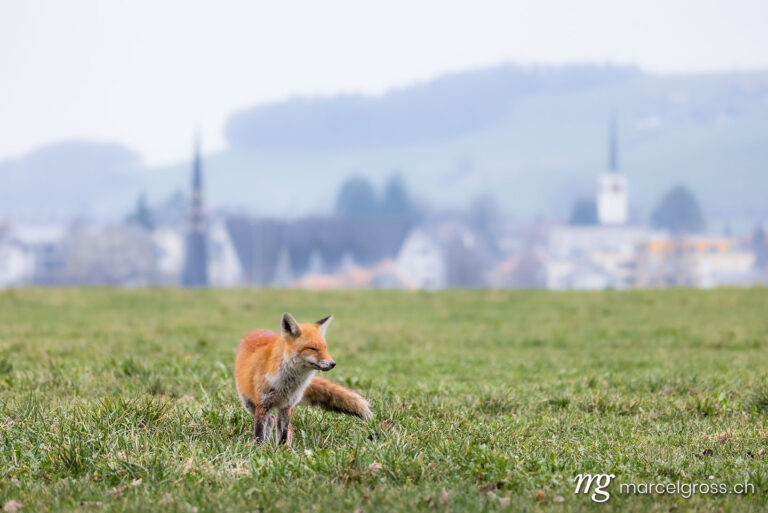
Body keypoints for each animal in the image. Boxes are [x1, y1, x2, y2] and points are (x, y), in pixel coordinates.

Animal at [234, 310, 372, 442]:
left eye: (325, 348)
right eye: (312, 348)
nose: (333, 364)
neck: (287, 384)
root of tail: (256, 331)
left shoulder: (287, 405)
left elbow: (283, 434)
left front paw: (282, 450)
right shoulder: (262, 404)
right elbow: (259, 433)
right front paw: (258, 448)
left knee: (283, 425)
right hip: (249, 404)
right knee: (270, 419)